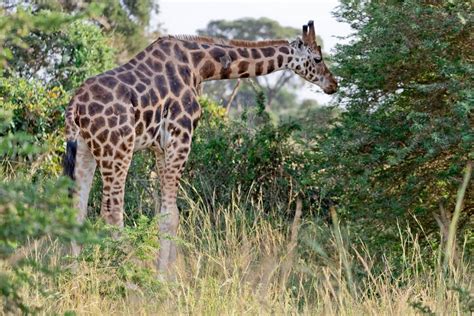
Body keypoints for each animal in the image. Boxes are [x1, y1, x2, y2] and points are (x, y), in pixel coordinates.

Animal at [63, 20, 336, 272]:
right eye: (318, 58)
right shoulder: (181, 135)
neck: (200, 66)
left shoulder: (159, 147)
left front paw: (167, 272)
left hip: (86, 150)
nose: (333, 84)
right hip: (117, 149)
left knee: (77, 211)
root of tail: (75, 106)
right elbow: (171, 216)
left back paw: (77, 275)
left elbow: (166, 213)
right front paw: (164, 278)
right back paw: (129, 275)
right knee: (110, 212)